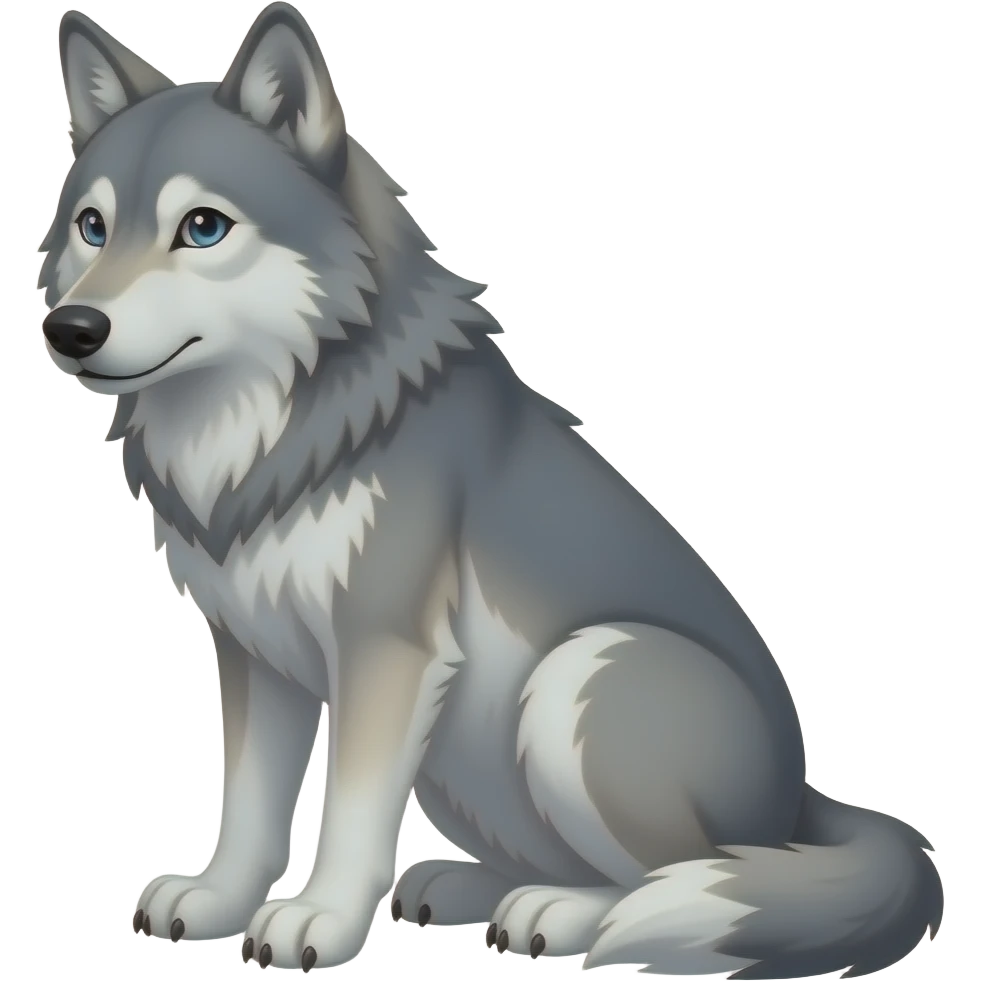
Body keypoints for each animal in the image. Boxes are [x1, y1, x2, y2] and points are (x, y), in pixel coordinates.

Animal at [39, 4, 943, 977]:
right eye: (92, 226)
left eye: (202, 228)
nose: (72, 328)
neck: (255, 438)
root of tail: (800, 798)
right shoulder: (256, 655)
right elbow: (247, 805)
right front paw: (217, 899)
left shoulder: (386, 649)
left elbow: (350, 815)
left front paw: (319, 919)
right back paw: (468, 887)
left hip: (578, 675)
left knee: (682, 876)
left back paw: (565, 913)